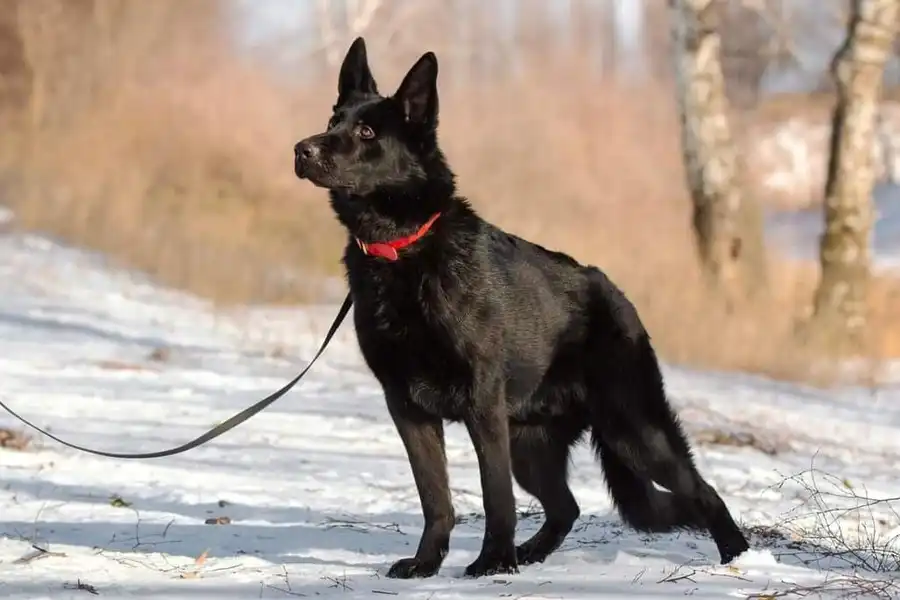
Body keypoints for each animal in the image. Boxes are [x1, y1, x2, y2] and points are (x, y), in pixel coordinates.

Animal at [296, 38, 752, 580]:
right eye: (333, 119)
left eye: (366, 132)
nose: (301, 150)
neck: (402, 247)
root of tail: (619, 298)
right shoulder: (406, 408)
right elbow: (436, 498)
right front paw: (429, 564)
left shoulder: (482, 406)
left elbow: (496, 498)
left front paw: (492, 562)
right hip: (532, 447)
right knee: (567, 507)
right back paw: (532, 553)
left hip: (634, 432)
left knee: (703, 491)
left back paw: (738, 557)